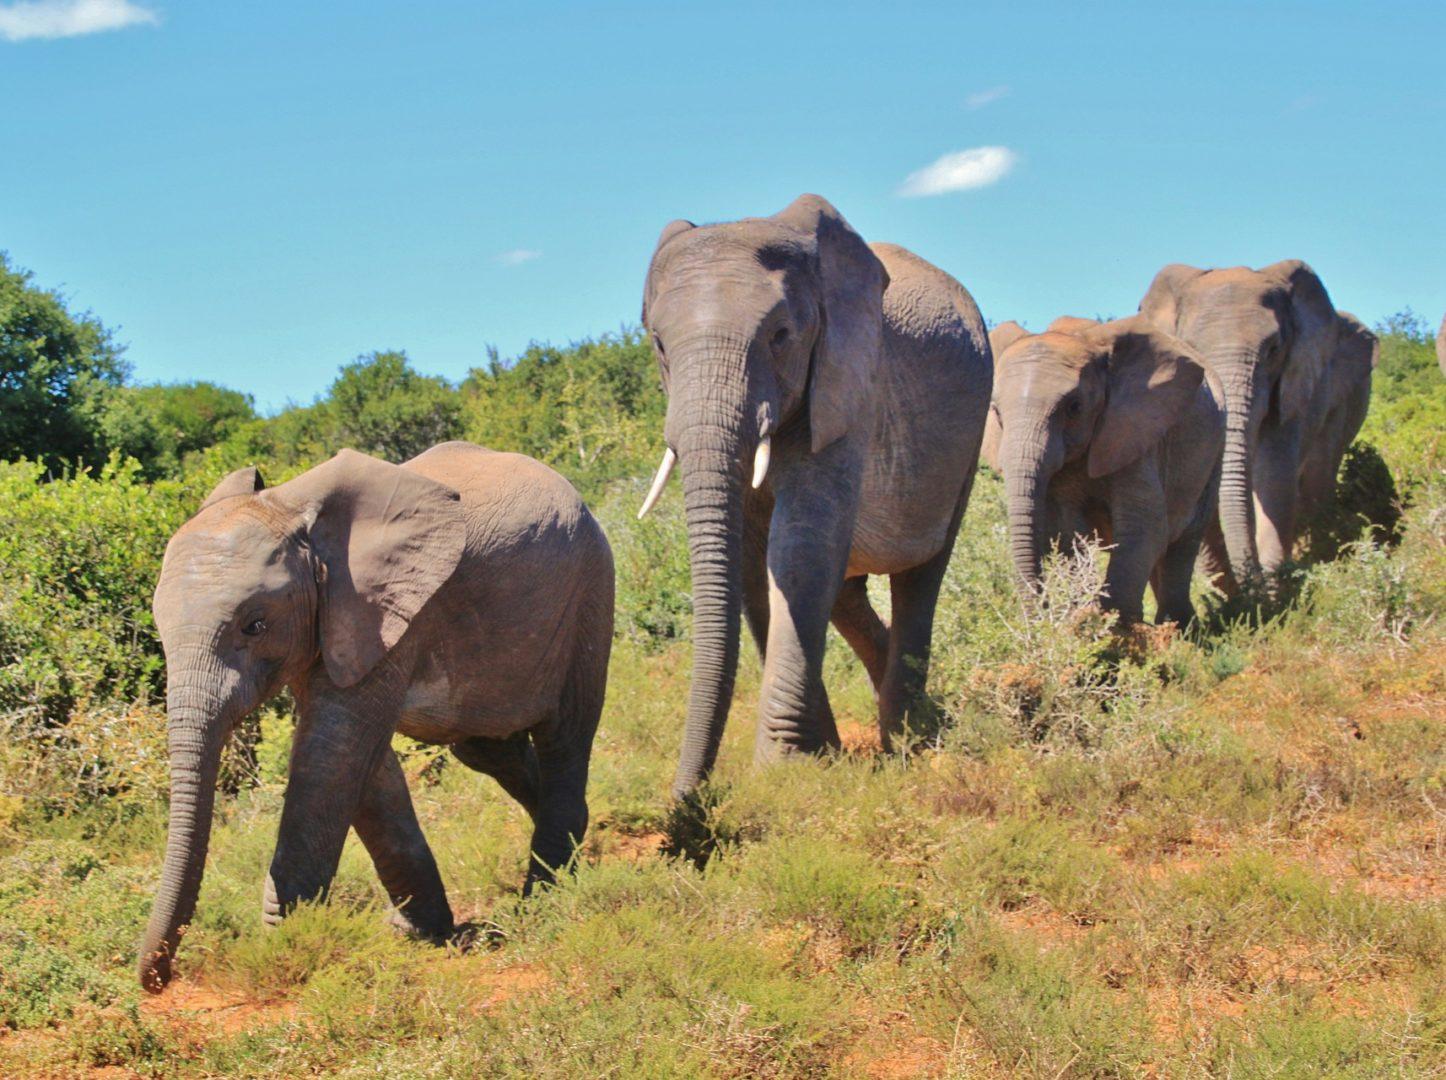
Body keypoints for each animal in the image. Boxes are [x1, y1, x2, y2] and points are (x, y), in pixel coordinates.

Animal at [137, 442, 613, 992]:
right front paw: (418, 932)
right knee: (487, 749)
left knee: (565, 735)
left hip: (589, 591)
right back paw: (581, 848)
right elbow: (364, 768)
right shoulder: (336, 622)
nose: (158, 979)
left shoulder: (387, 609)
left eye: (255, 625)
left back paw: (542, 897)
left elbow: (334, 753)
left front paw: (288, 944)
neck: (292, 510)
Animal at [638, 194, 991, 797]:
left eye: (781, 335)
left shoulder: (847, 383)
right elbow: (753, 564)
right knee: (847, 592)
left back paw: (910, 737)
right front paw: (820, 757)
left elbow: (801, 547)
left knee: (921, 574)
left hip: (969, 430)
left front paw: (784, 769)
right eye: (659, 344)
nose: (688, 800)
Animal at [988, 315, 1225, 624]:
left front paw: (1115, 627)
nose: (1042, 614)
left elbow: (1144, 523)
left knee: (1184, 541)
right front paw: (1079, 620)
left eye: (1074, 407)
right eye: (996, 412)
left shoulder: (1134, 429)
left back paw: (1178, 626)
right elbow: (1066, 530)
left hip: (1215, 449)